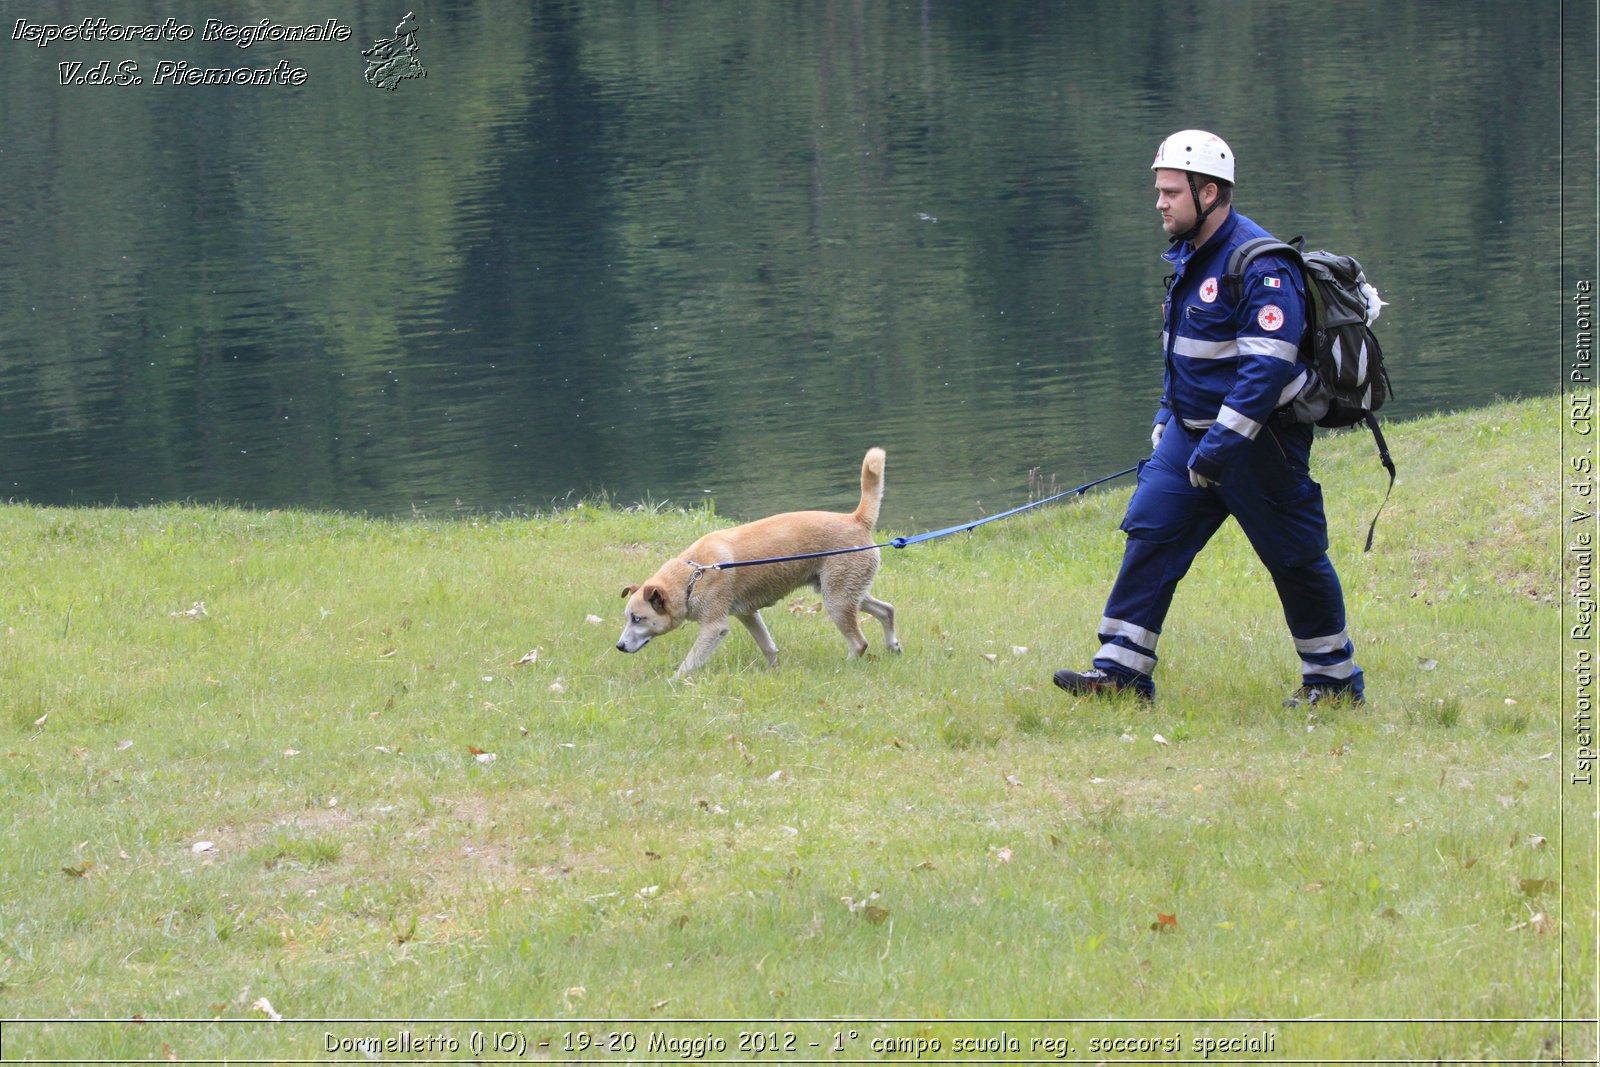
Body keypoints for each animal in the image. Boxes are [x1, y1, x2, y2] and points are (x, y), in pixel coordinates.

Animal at [617, 451, 902, 675]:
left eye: (638, 619)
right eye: (628, 617)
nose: (619, 646)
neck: (692, 575)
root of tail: (856, 519)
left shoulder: (714, 626)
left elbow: (691, 661)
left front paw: (675, 681)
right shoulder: (748, 613)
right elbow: (767, 646)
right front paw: (773, 671)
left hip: (838, 599)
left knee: (859, 642)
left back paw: (847, 665)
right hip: (843, 591)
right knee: (886, 609)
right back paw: (893, 646)